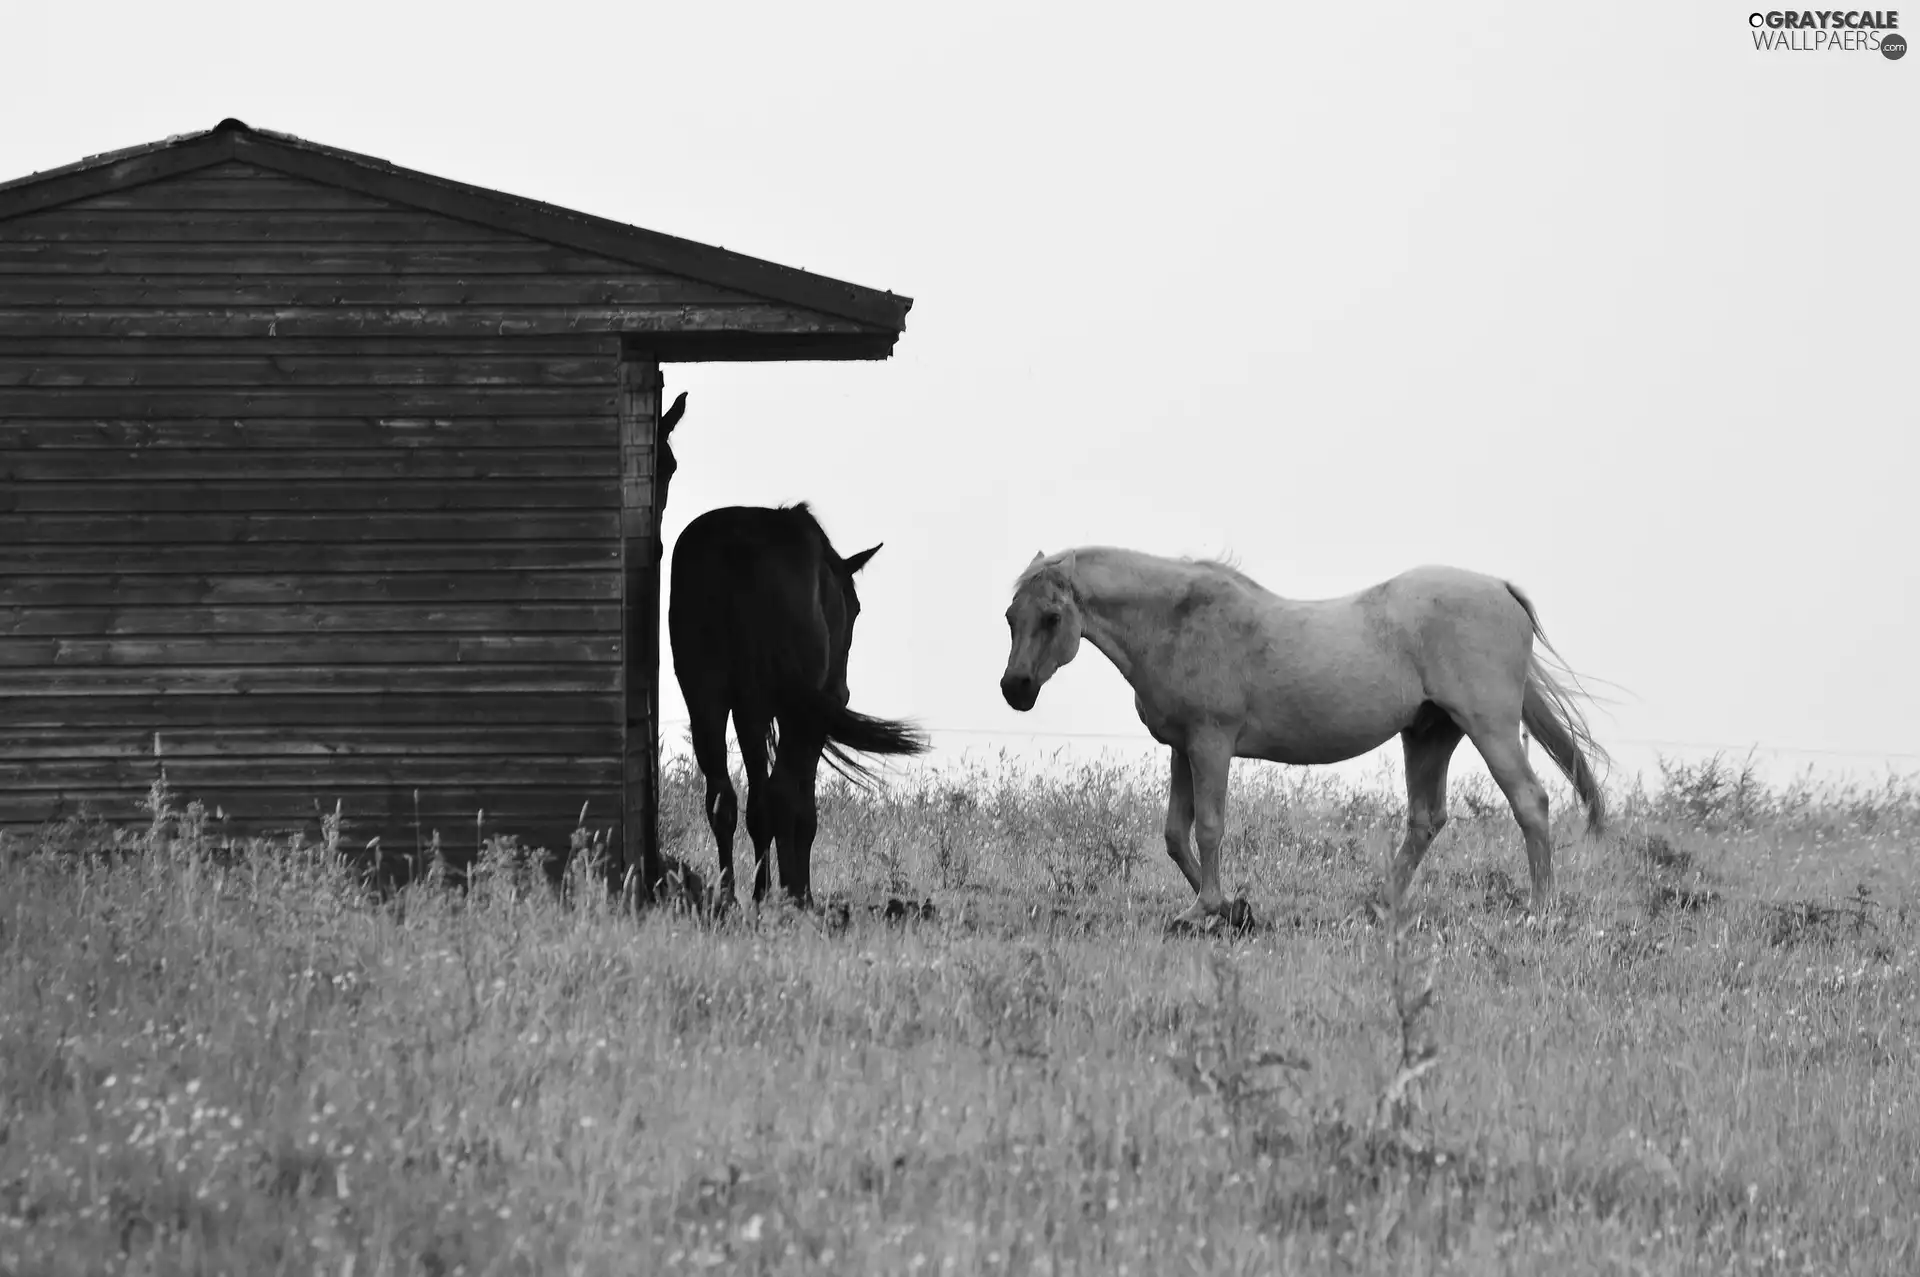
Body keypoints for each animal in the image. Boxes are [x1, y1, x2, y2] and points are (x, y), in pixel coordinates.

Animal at [668, 499, 929, 906]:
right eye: (855, 608)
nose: (844, 689)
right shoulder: (807, 717)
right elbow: (802, 808)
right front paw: (797, 890)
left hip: (707, 695)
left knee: (724, 798)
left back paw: (732, 895)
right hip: (783, 709)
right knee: (777, 794)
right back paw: (781, 895)